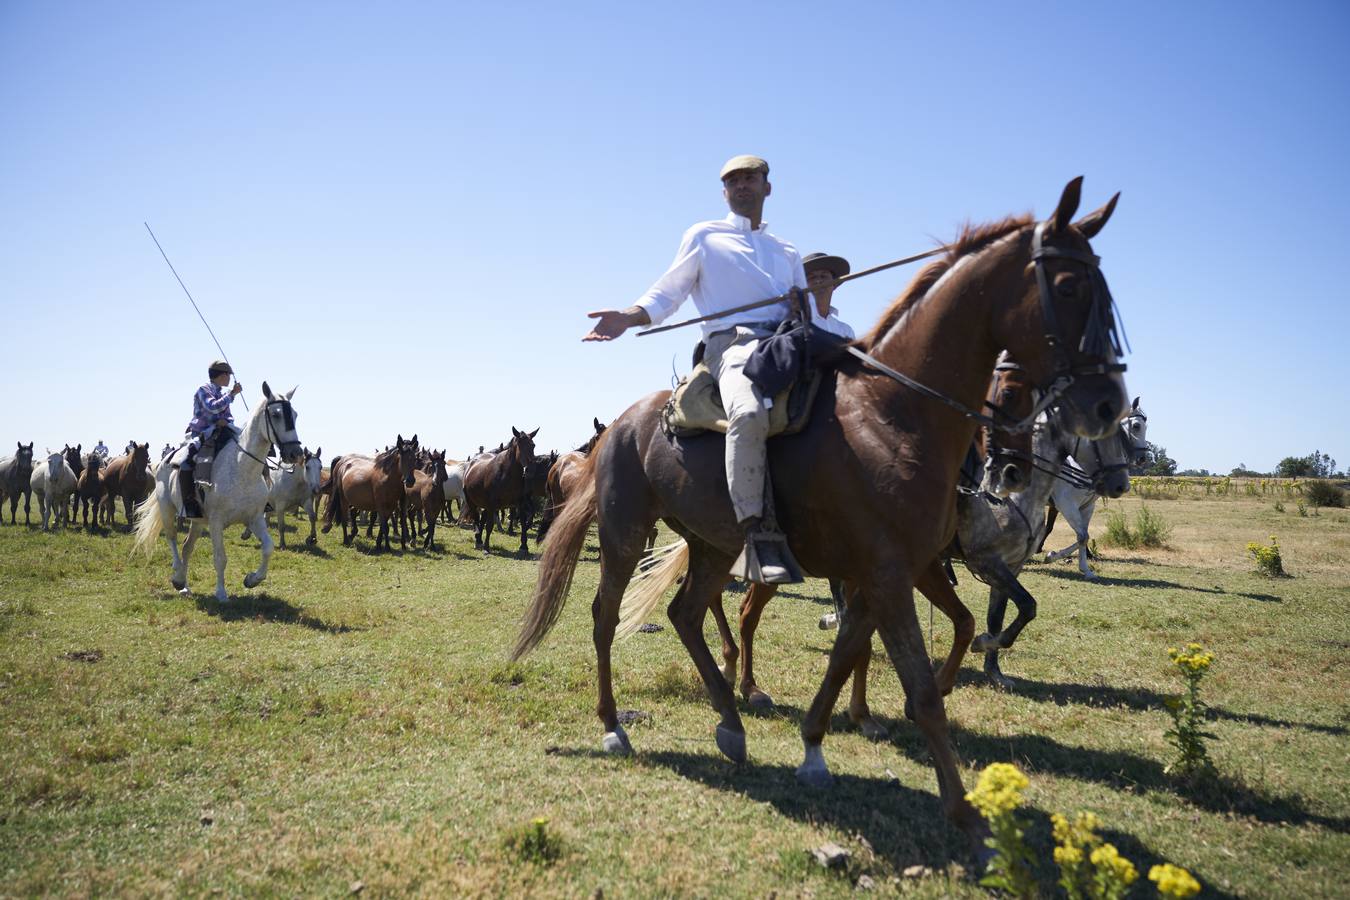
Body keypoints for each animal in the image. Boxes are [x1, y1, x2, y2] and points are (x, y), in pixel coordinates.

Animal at [133, 383, 303, 601]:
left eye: (295, 415)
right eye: (276, 414)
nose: (295, 453)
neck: (241, 468)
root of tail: (163, 462)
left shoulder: (254, 519)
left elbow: (268, 547)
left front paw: (252, 579)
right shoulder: (216, 522)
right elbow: (220, 558)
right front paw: (221, 593)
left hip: (197, 521)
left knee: (187, 547)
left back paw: (184, 586)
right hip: (167, 509)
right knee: (172, 539)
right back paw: (178, 577)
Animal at [513, 179, 1128, 863]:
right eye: (1069, 287)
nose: (1108, 403)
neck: (893, 416)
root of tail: (619, 426)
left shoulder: (882, 575)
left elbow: (848, 655)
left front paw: (814, 746)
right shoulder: (891, 575)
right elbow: (920, 691)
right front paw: (970, 821)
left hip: (714, 545)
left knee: (687, 614)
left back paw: (731, 723)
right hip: (626, 533)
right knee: (606, 616)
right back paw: (614, 726)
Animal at [1042, 396, 1150, 580]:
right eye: (1136, 426)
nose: (1143, 458)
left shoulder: (1086, 506)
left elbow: (1083, 536)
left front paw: (1084, 568)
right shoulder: (1066, 505)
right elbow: (1081, 535)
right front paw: (1051, 555)